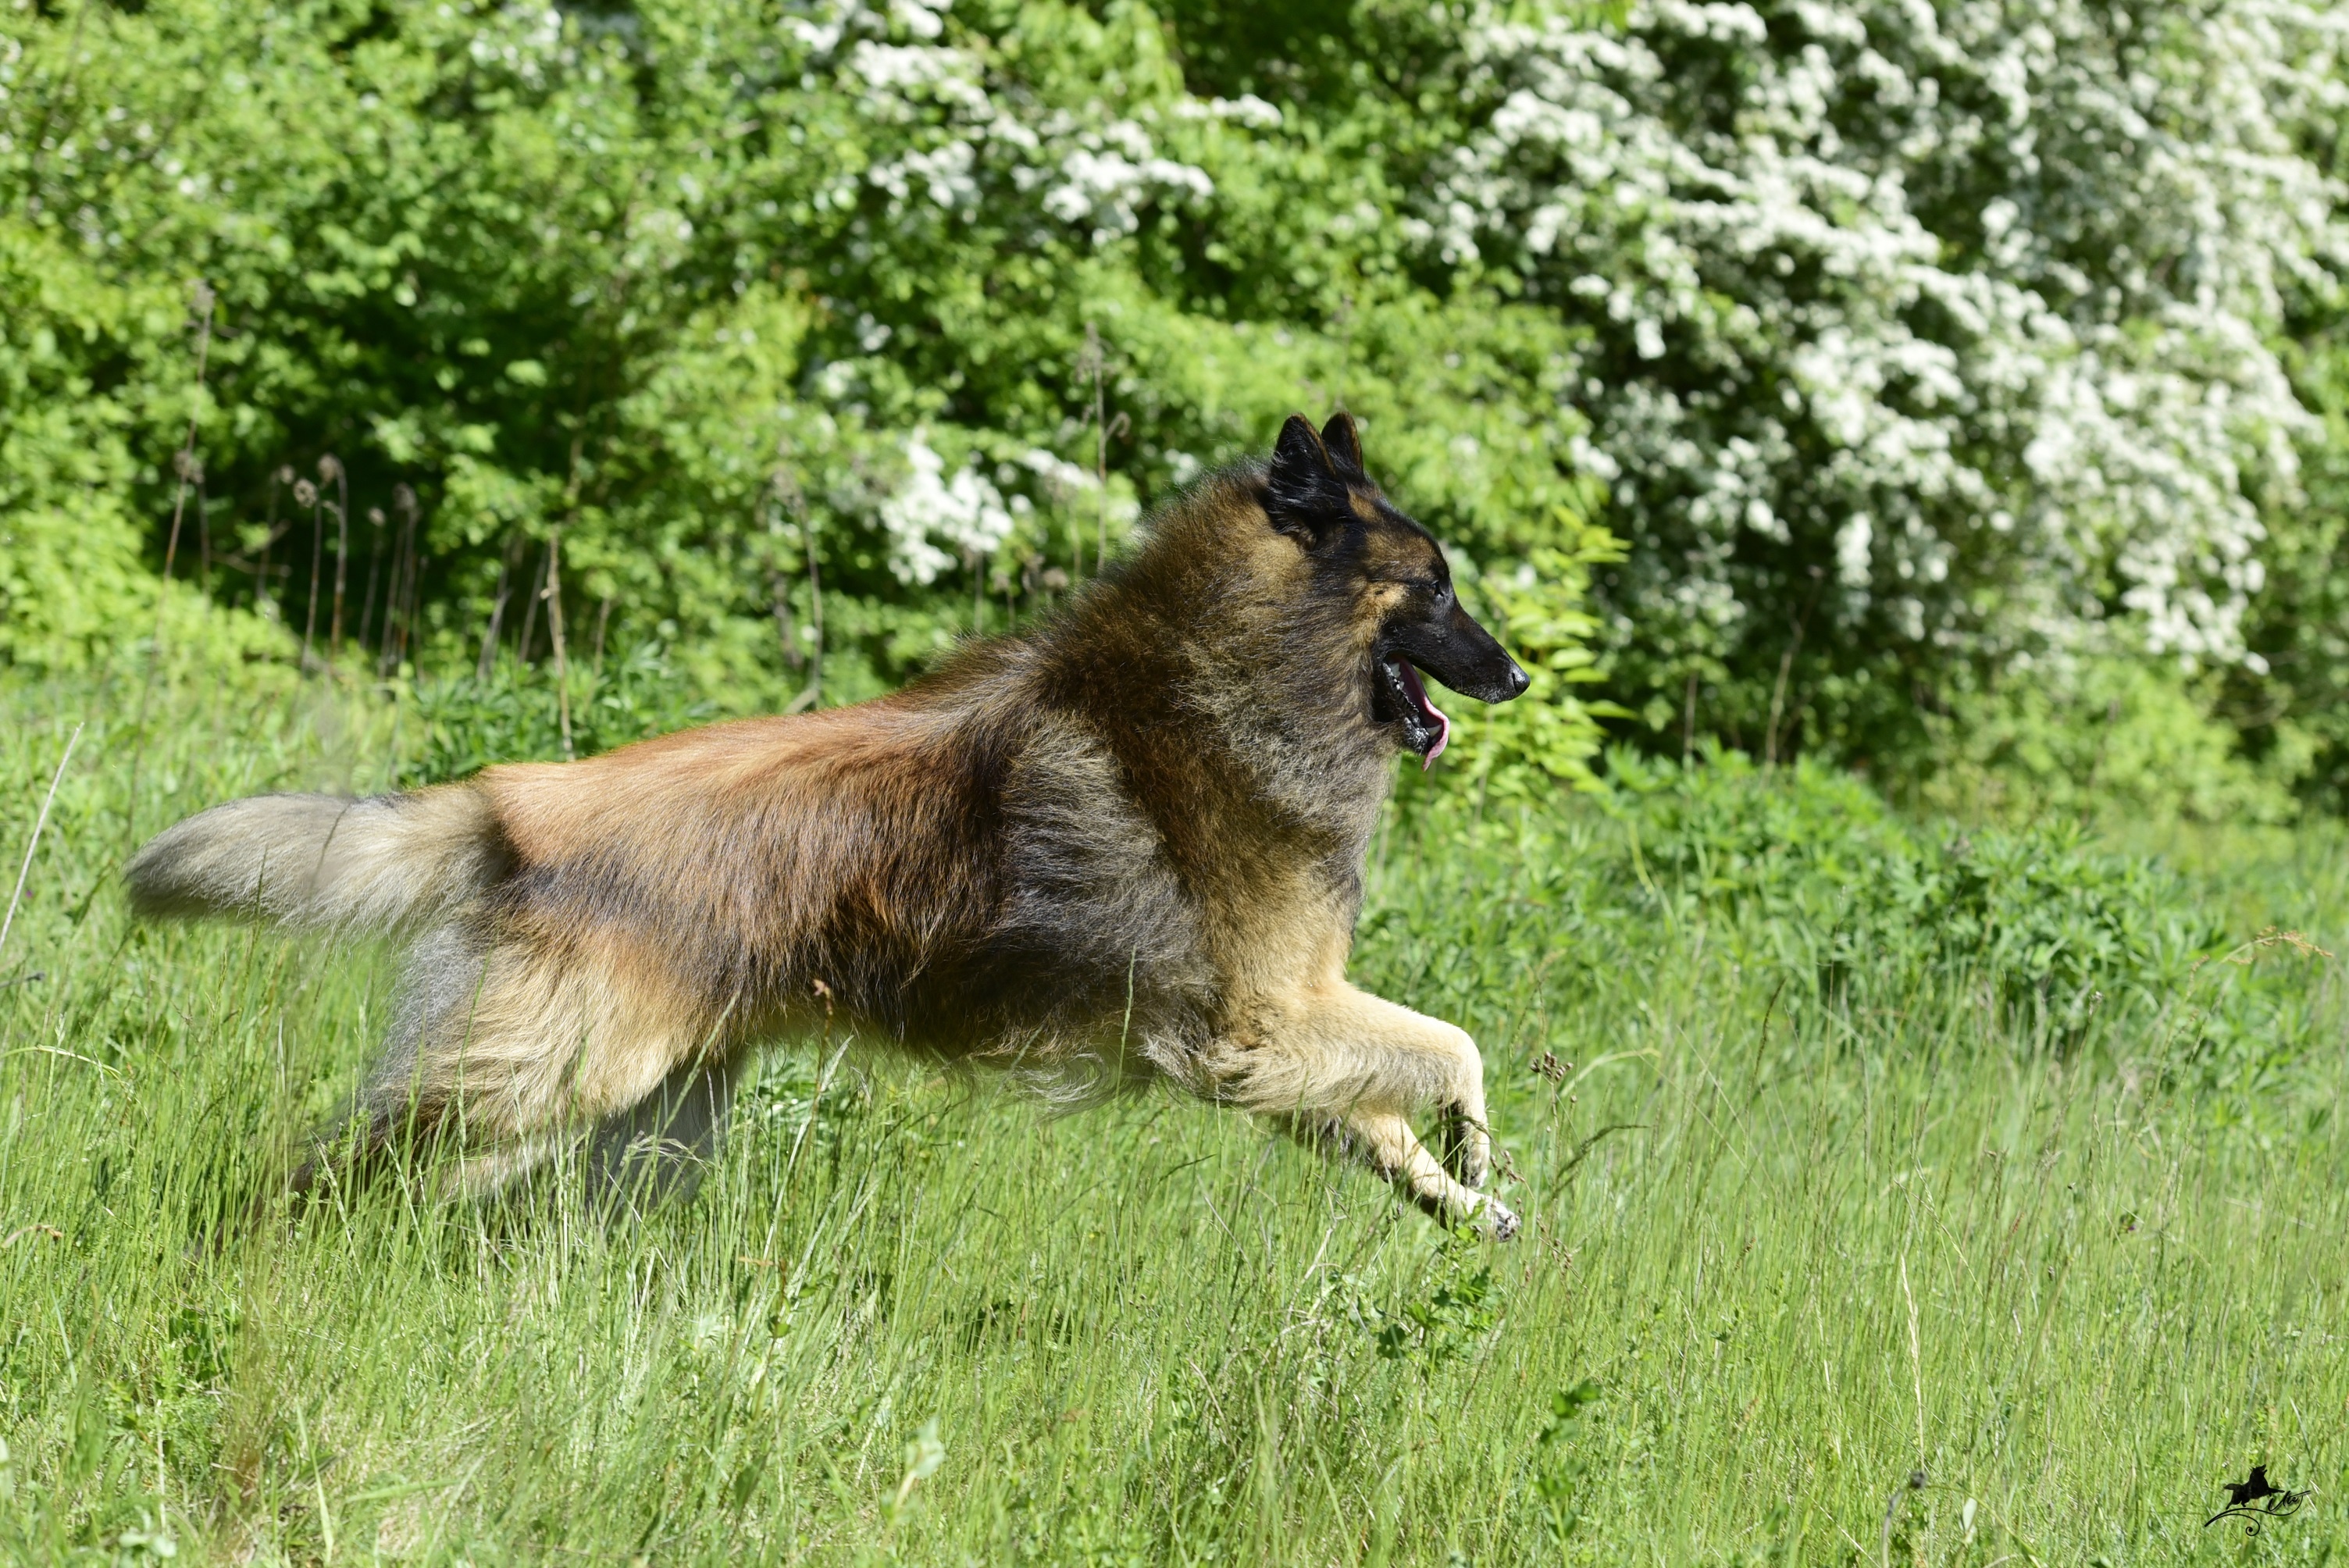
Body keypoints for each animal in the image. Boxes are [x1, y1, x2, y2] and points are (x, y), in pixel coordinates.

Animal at [123, 413, 1541, 1239]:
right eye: (1435, 588)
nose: (1521, 676)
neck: (1227, 677)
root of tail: (515, 799)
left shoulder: (1278, 1044)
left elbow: (1384, 1115)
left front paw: (1459, 1198)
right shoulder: (1268, 1021)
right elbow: (1455, 1047)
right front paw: (1477, 1145)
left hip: (631, 1112)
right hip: (536, 1085)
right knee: (333, 1166)